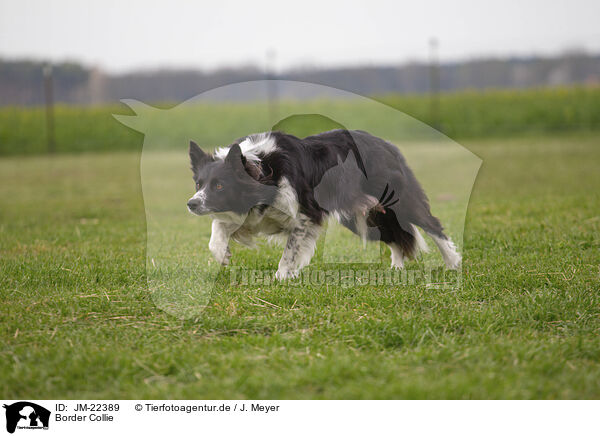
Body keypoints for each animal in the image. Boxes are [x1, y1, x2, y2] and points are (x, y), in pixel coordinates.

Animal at [186, 129, 460, 280]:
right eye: (199, 184)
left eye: (219, 186)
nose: (191, 204)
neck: (262, 169)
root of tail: (385, 144)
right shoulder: (253, 214)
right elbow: (218, 229)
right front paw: (222, 253)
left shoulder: (305, 215)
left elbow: (290, 251)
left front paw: (281, 277)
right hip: (359, 215)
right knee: (394, 237)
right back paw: (397, 267)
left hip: (400, 200)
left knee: (431, 225)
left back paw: (452, 262)